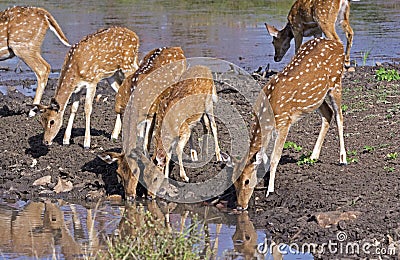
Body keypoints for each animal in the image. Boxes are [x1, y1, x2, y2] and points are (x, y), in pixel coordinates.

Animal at [225, 37, 346, 210]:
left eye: (247, 181)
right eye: (233, 183)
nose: (240, 206)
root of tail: (338, 45)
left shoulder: (285, 121)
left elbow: (275, 158)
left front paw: (270, 190)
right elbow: (265, 157)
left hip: (336, 83)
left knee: (339, 116)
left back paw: (343, 159)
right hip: (317, 97)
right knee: (328, 114)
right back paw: (313, 156)